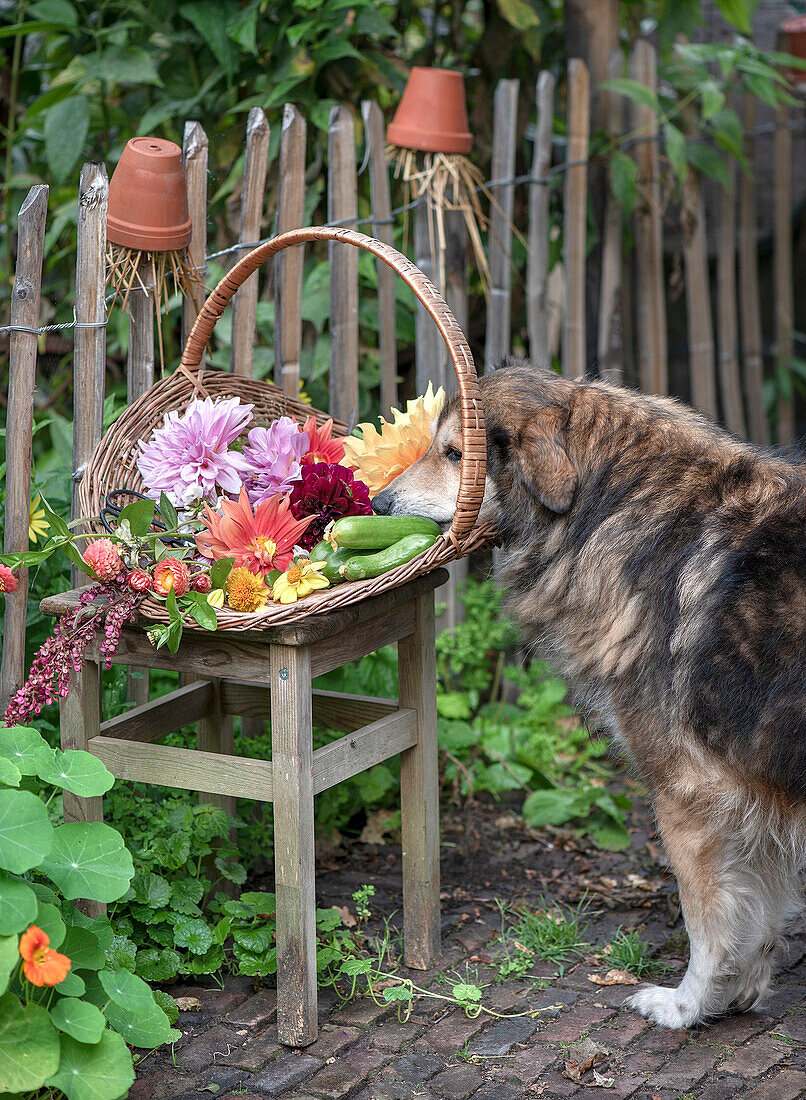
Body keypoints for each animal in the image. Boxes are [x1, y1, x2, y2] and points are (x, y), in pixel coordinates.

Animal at [371, 360, 804, 1029]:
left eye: (454, 453)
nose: (377, 504)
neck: (613, 505)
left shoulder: (688, 791)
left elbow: (710, 918)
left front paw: (688, 1006)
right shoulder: (760, 788)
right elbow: (760, 908)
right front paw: (743, 991)